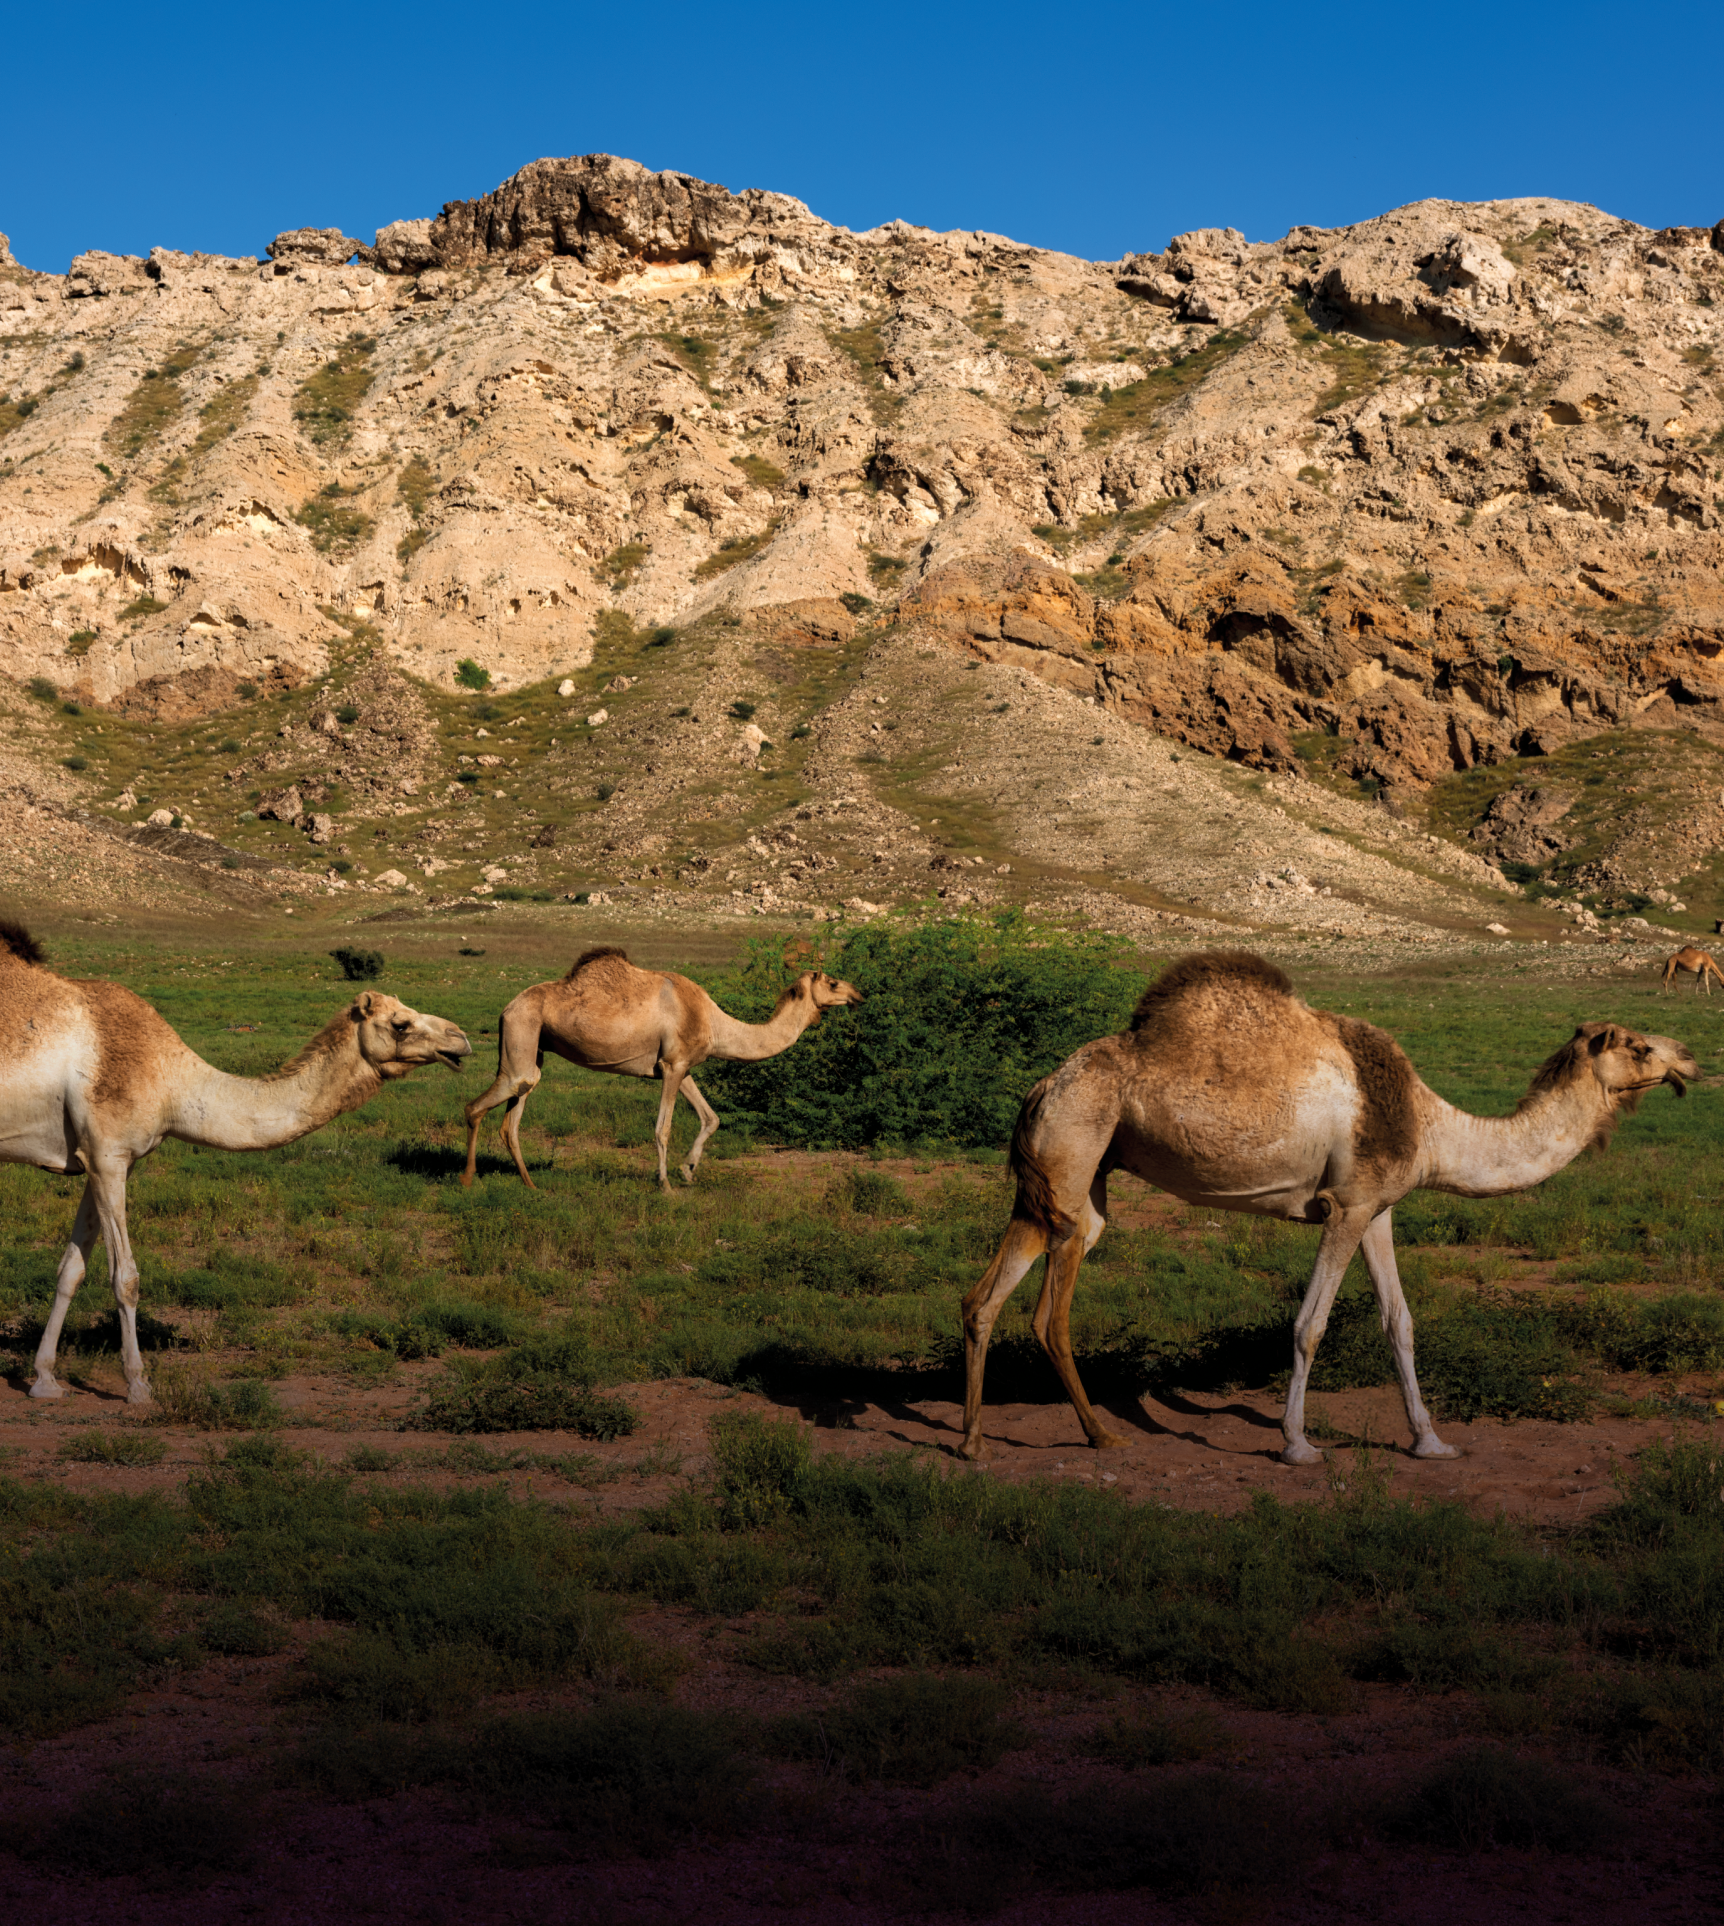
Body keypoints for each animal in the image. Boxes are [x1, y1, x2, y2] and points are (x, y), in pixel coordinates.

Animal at [0, 922, 471, 1404]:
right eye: (400, 1023)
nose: (460, 1038)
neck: (171, 1081)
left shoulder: (104, 1159)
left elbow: (70, 1269)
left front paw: (44, 1379)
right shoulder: (108, 1153)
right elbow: (125, 1277)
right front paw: (138, 1384)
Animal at [462, 946, 863, 1191]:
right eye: (832, 982)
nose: (858, 994)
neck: (715, 1024)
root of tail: (506, 1009)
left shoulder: (681, 1066)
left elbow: (711, 1117)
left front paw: (688, 1171)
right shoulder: (673, 1066)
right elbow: (663, 1128)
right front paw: (667, 1186)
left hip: (534, 1047)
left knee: (512, 1119)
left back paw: (530, 1184)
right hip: (521, 1035)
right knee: (477, 1105)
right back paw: (467, 1179)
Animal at [961, 951, 1697, 1467]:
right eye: (1637, 1045)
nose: (1689, 1055)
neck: (1432, 1129)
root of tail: (1040, 1087)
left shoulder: (1379, 1207)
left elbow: (1400, 1321)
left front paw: (1431, 1443)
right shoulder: (1345, 1206)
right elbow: (1309, 1324)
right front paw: (1297, 1445)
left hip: (1056, 1184)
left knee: (984, 1299)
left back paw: (972, 1441)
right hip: (1075, 1151)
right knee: (1050, 1314)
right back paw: (1101, 1437)